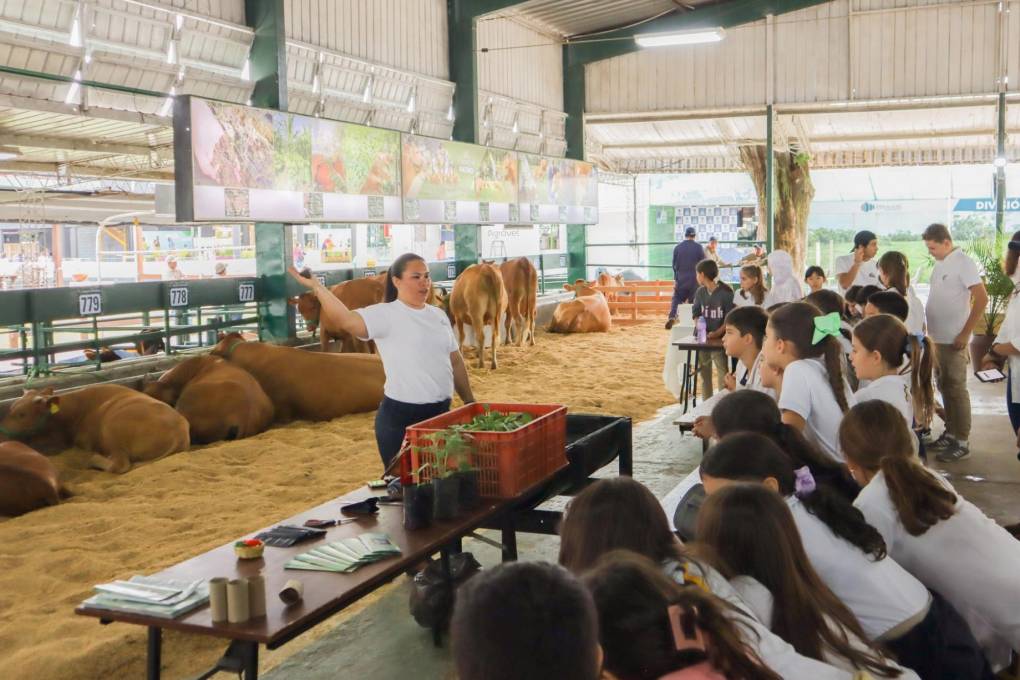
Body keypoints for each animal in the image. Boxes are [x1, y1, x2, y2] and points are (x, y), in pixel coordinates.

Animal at [0, 385, 190, 477]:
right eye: (11, 408)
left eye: (21, 414)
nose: (3, 432)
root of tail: (179, 430)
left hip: (112, 430)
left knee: (118, 465)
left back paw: (93, 459)